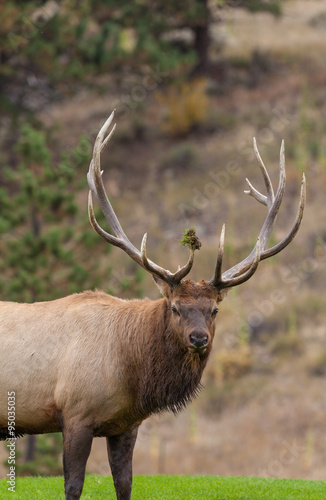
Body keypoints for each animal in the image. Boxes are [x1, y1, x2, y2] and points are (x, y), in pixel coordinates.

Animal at [0, 111, 306, 498]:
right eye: (175, 307)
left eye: (214, 310)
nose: (198, 338)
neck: (132, 371)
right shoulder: (75, 414)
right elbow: (73, 486)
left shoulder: (126, 424)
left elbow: (125, 484)